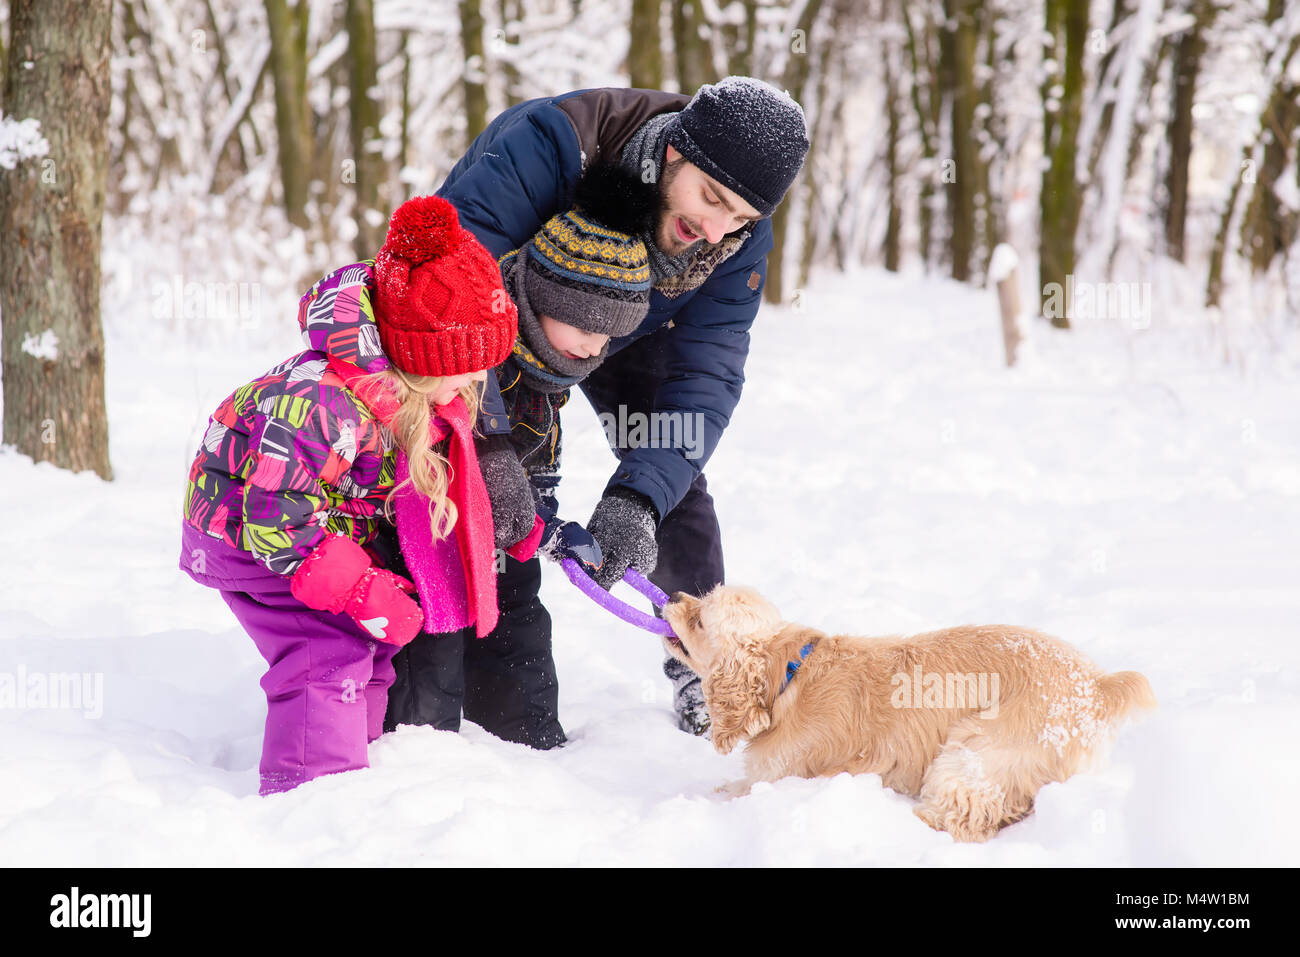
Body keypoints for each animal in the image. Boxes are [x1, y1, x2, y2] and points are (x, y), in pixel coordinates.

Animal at [665, 587, 1154, 842]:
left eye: (701, 619)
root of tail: (1098, 685)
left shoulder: (782, 773)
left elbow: (736, 790)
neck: (789, 675)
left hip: (973, 752)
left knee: (963, 816)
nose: (674, 594)